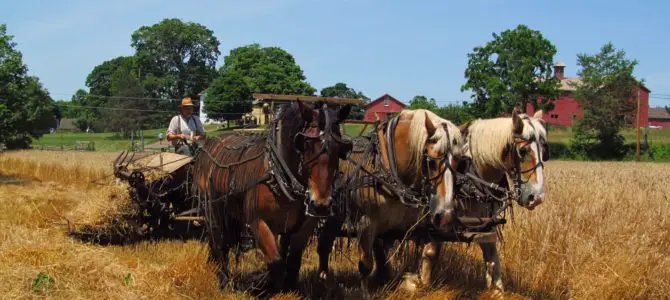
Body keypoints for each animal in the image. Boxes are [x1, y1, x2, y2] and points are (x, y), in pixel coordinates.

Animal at [193, 102, 354, 294]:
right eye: (305, 144)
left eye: (340, 148)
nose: (321, 205)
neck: (278, 174)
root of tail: (210, 144)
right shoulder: (258, 222)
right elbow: (276, 262)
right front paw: (259, 284)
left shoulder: (305, 225)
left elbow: (292, 259)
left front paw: (288, 288)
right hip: (214, 208)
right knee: (219, 240)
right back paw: (224, 279)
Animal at [314, 109, 462, 290]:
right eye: (431, 163)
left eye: (459, 163)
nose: (446, 215)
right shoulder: (366, 223)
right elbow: (366, 264)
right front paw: (365, 291)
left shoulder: (418, 224)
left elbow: (431, 251)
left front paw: (417, 282)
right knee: (324, 243)